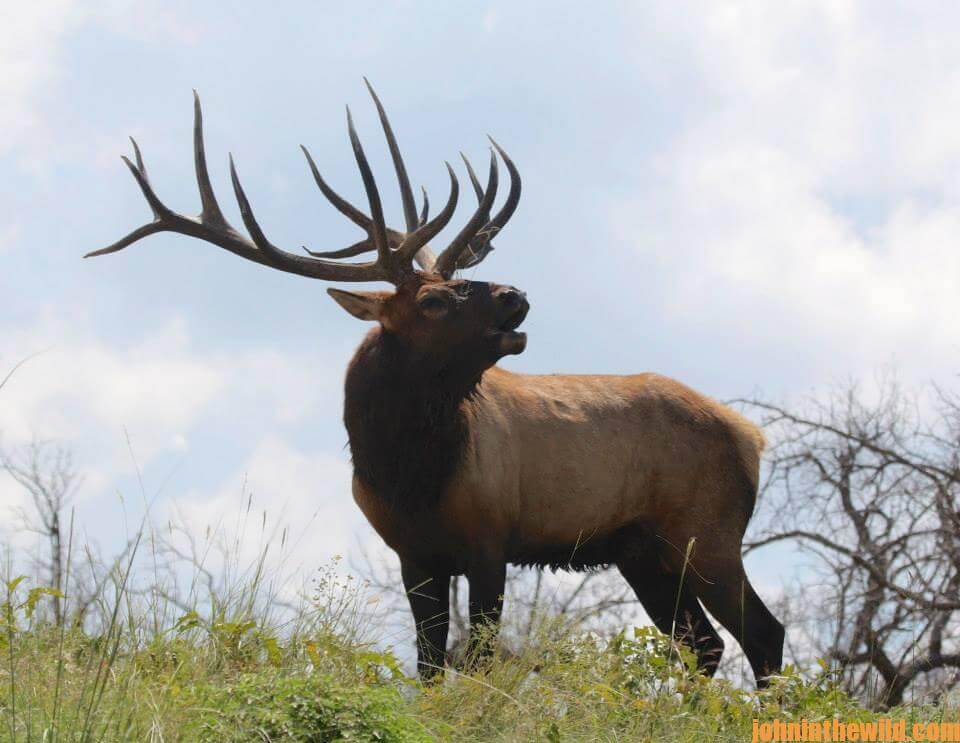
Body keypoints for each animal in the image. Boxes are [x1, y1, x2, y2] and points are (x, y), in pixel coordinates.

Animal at [87, 82, 784, 687]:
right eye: (432, 300)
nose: (515, 295)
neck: (408, 473)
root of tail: (753, 436)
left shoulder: (491, 539)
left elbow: (477, 660)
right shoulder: (413, 555)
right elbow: (429, 664)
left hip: (707, 531)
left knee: (760, 633)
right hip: (643, 550)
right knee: (704, 644)